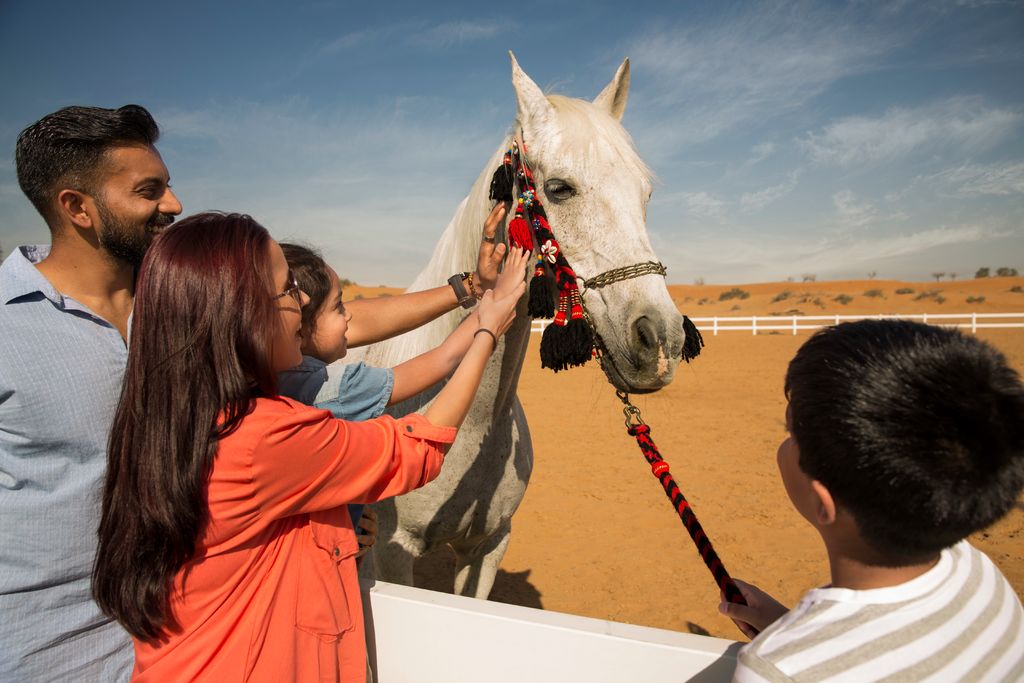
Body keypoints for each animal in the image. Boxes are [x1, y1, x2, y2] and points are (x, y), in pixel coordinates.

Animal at [364, 54, 684, 598]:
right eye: (558, 188)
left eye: (644, 194)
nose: (661, 340)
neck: (471, 424)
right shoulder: (393, 554)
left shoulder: (488, 546)